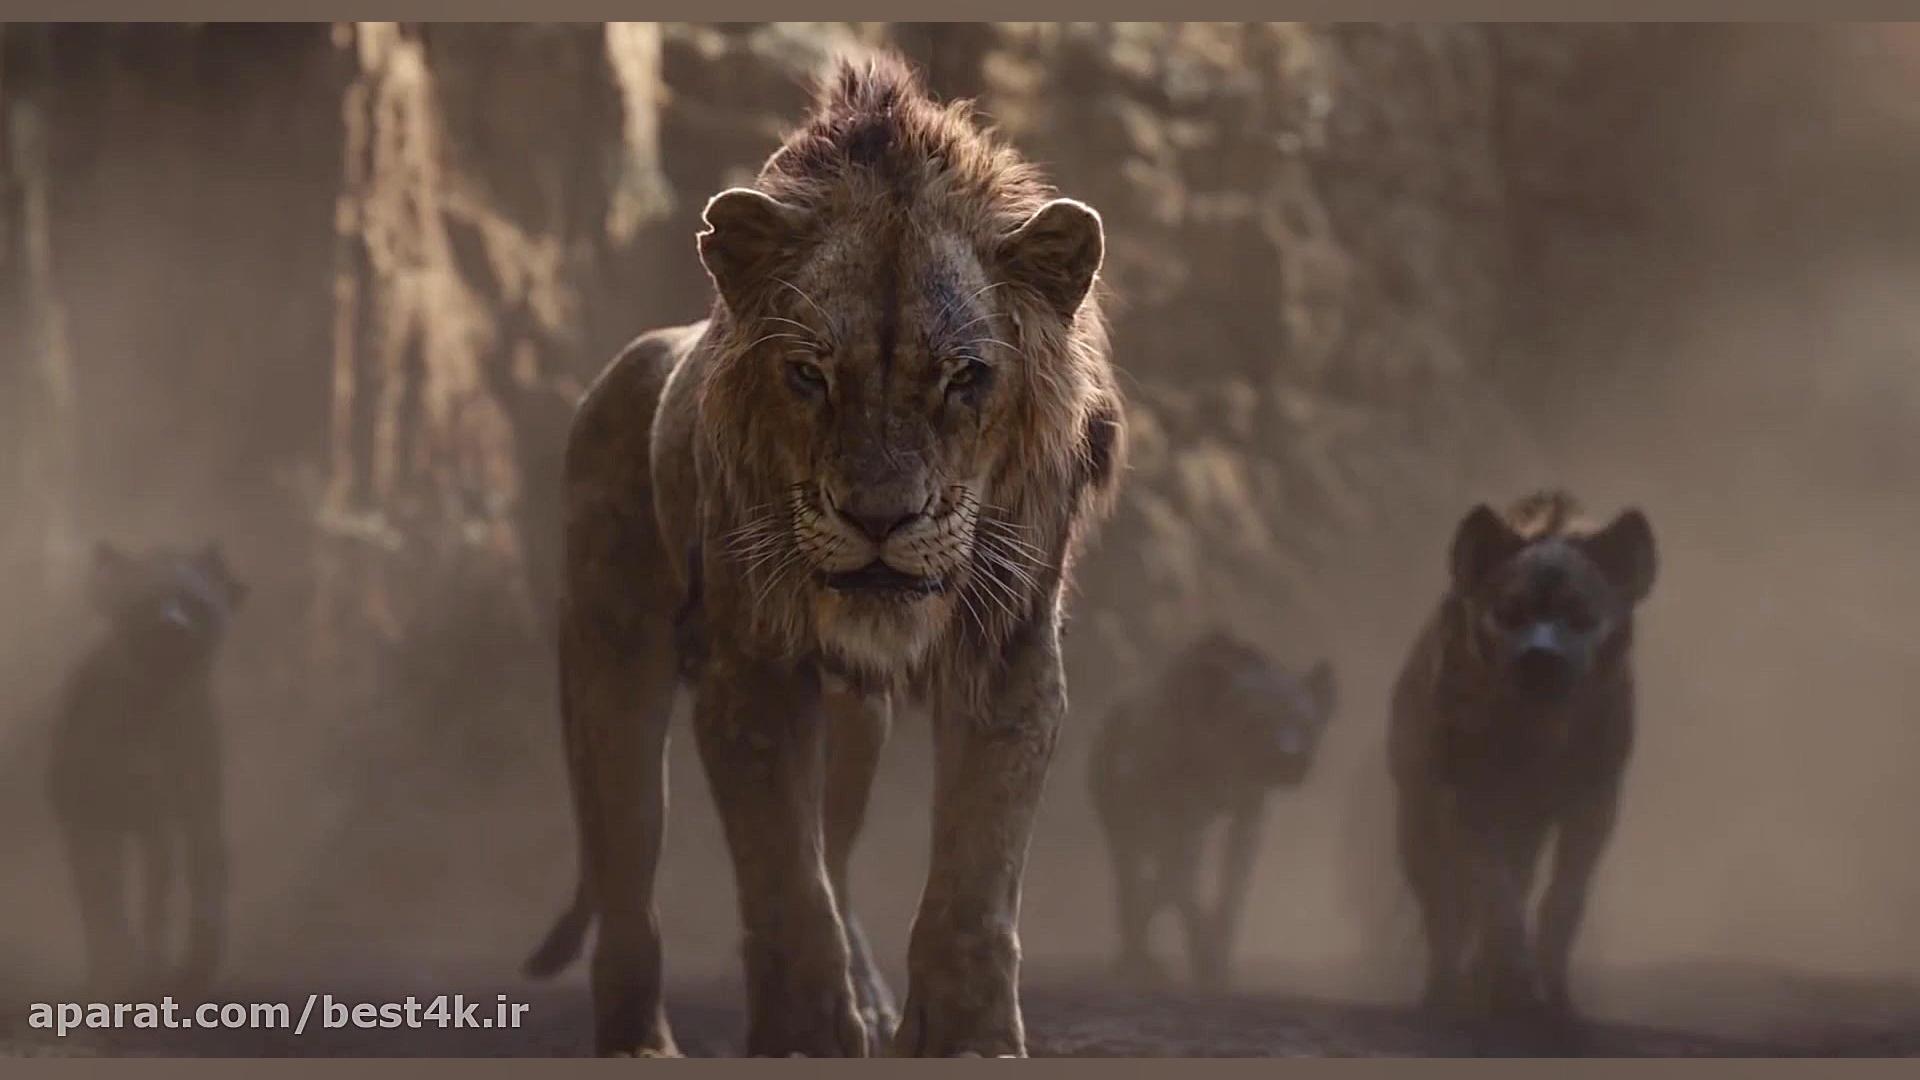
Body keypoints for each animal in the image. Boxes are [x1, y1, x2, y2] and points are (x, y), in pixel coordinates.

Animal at [46, 541, 248, 997]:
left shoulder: (178, 814)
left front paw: (179, 969)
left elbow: (183, 896)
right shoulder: (92, 819)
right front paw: (118, 970)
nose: (173, 627)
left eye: (194, 603)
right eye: (144, 601)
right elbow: (104, 904)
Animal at [521, 54, 1125, 1058]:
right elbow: (782, 879)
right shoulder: (753, 671)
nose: (880, 517)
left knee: (835, 854)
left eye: (965, 378)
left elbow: (973, 880)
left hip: (854, 727)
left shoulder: (1010, 655)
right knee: (628, 882)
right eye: (808, 374)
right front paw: (805, 1035)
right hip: (611, 669)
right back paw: (638, 1042)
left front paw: (965, 1040)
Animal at [1088, 629, 1336, 990]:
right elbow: (1182, 886)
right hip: (1121, 816)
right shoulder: (1184, 815)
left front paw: (1218, 961)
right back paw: (1138, 960)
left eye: (1305, 723)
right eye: (1255, 721)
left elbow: (1228, 889)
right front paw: (1201, 959)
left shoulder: (1249, 810)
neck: (1221, 763)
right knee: (1128, 874)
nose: (1291, 759)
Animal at [1388, 490, 1655, 1036]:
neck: (1538, 736)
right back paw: (1444, 996)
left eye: (1580, 615)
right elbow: (1496, 898)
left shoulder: (1593, 803)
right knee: (1444, 913)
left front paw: (1554, 1001)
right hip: (1418, 825)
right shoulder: (1467, 800)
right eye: (1508, 613)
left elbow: (1561, 903)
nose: (1540, 657)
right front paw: (1512, 991)